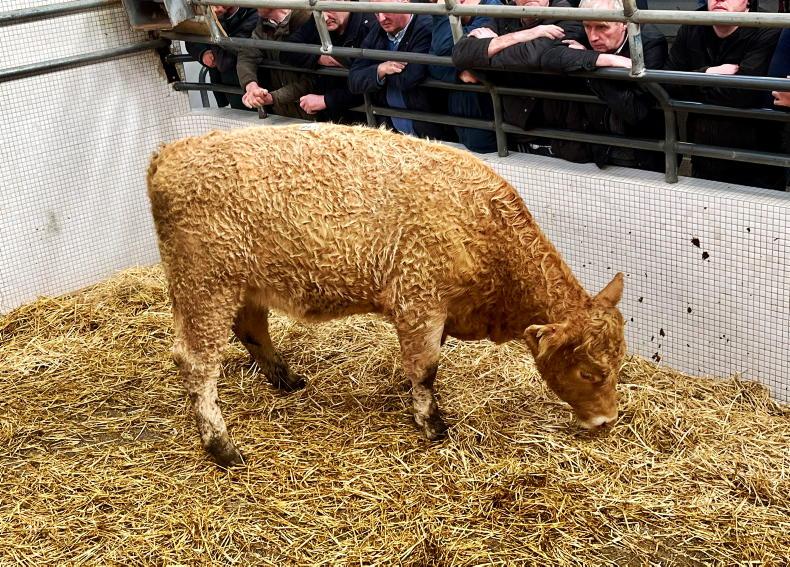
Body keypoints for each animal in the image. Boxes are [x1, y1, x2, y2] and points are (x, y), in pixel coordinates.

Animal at [147, 123, 626, 467]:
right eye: (590, 372)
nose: (608, 420)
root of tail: (170, 151)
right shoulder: (420, 301)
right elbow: (426, 368)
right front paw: (431, 424)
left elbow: (421, 365)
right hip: (204, 287)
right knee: (196, 363)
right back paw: (222, 446)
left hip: (242, 285)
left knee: (251, 329)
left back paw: (286, 380)